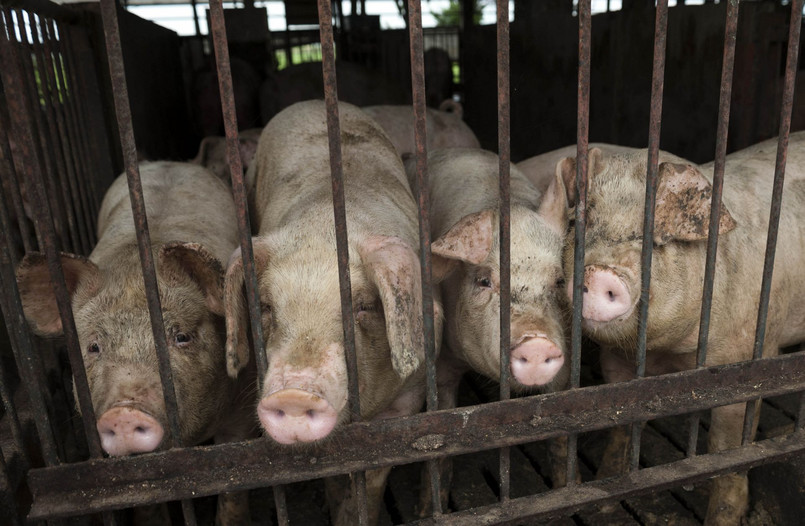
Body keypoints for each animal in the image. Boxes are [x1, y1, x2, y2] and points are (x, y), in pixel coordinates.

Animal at [223, 100, 442, 526]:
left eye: (363, 305)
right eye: (266, 306)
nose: (293, 393)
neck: (327, 222)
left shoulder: (411, 395)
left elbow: (373, 474)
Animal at [412, 148, 576, 516]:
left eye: (560, 280)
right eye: (484, 281)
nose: (537, 342)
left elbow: (561, 436)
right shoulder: (443, 362)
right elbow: (441, 445)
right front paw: (429, 509)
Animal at [556, 133, 804, 526]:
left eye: (654, 235)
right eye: (583, 222)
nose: (597, 272)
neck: (667, 357)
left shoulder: (749, 359)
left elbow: (726, 450)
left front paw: (722, 519)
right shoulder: (617, 361)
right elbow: (622, 425)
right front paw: (605, 501)